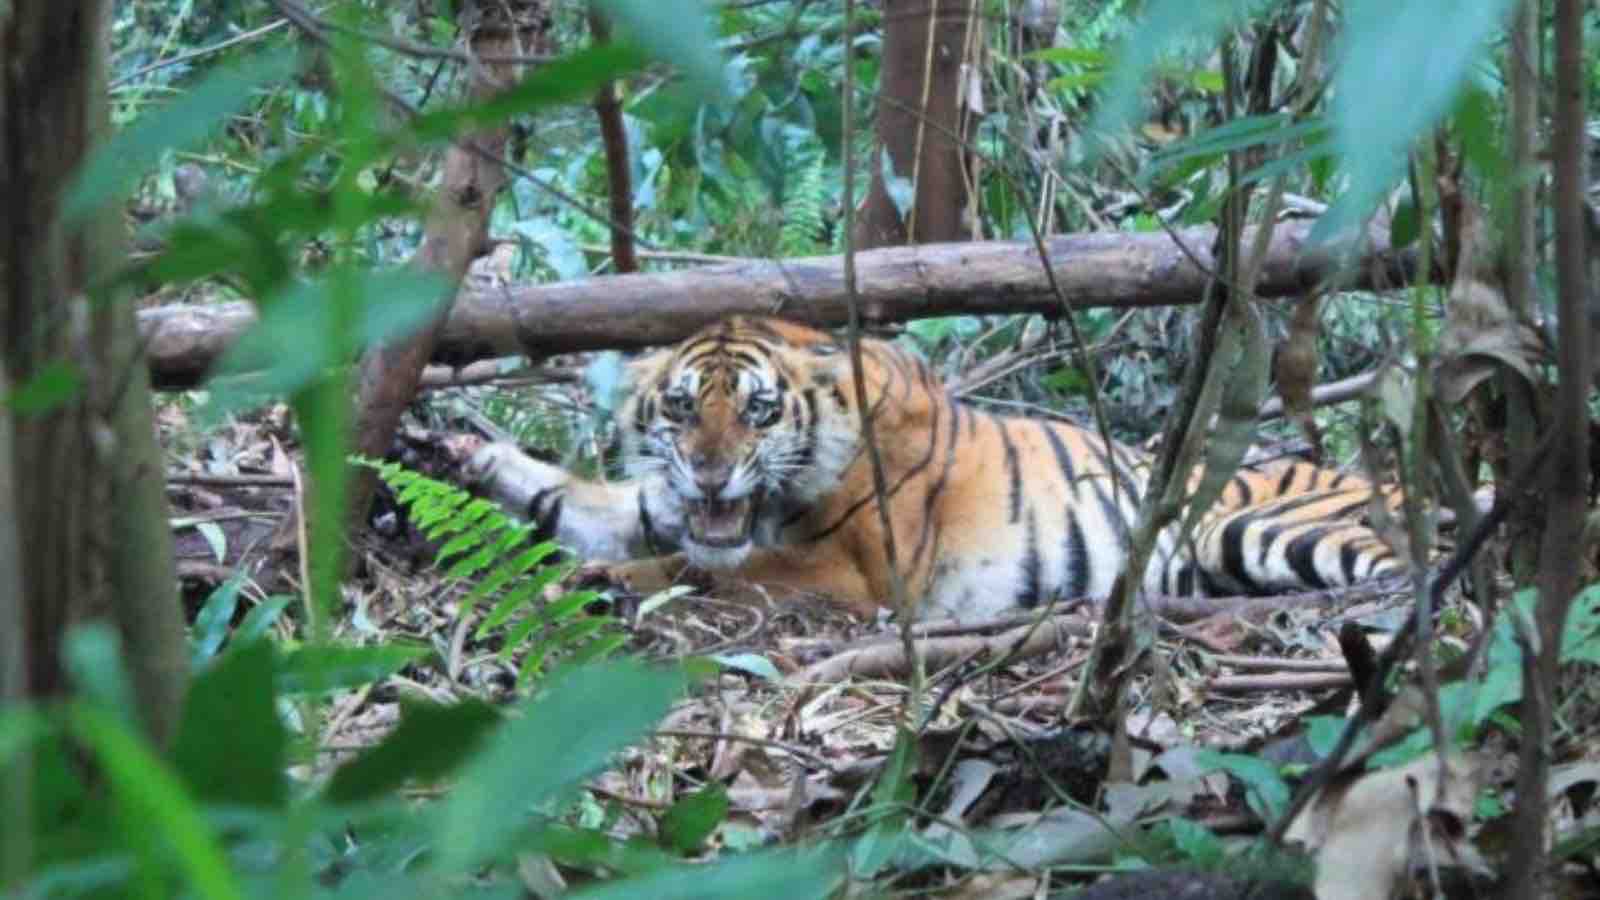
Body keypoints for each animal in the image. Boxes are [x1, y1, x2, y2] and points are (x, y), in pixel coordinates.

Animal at [467, 315, 1401, 622]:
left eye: (759, 411)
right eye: (683, 407)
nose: (708, 474)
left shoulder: (849, 570)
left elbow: (695, 569)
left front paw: (596, 583)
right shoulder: (668, 507)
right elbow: (583, 500)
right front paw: (464, 454)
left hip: (1259, 528)